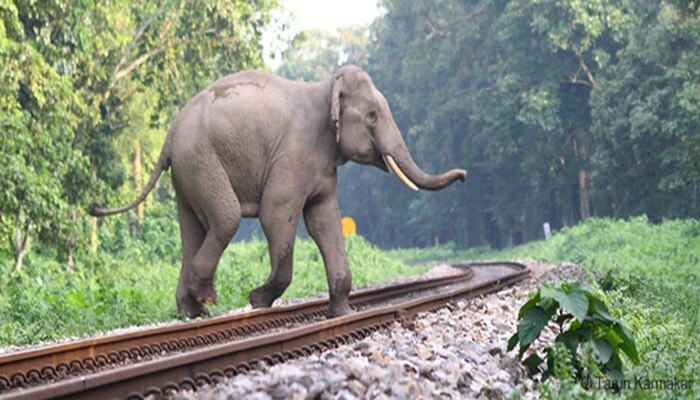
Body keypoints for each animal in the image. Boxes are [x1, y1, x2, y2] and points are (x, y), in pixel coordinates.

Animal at [90, 65, 468, 318]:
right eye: (373, 116)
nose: (465, 176)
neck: (325, 87)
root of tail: (170, 134)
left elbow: (324, 221)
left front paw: (343, 315)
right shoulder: (293, 157)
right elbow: (277, 214)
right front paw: (257, 300)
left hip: (187, 172)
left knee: (193, 229)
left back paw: (192, 312)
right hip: (200, 160)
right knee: (225, 218)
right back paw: (207, 298)